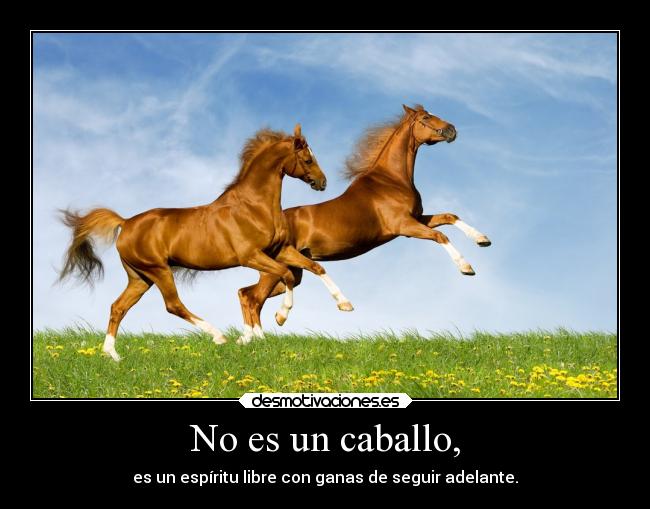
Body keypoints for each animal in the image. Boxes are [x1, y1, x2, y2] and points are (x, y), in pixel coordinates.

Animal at [58, 124, 354, 361]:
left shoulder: (279, 250)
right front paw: (278, 319)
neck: (254, 206)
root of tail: (126, 222)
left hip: (140, 277)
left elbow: (315, 267)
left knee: (118, 307)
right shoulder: (251, 256)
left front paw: (345, 304)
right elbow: (285, 277)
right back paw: (218, 336)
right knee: (173, 305)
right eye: (307, 159)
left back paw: (112, 355)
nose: (322, 183)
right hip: (158, 270)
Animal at [237, 105, 491, 332]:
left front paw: (482, 239)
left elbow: (450, 216)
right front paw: (466, 267)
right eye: (426, 117)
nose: (452, 130)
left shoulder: (417, 218)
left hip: (290, 271)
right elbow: (440, 235)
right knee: (252, 298)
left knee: (248, 293)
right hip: (276, 269)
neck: (391, 180)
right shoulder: (405, 226)